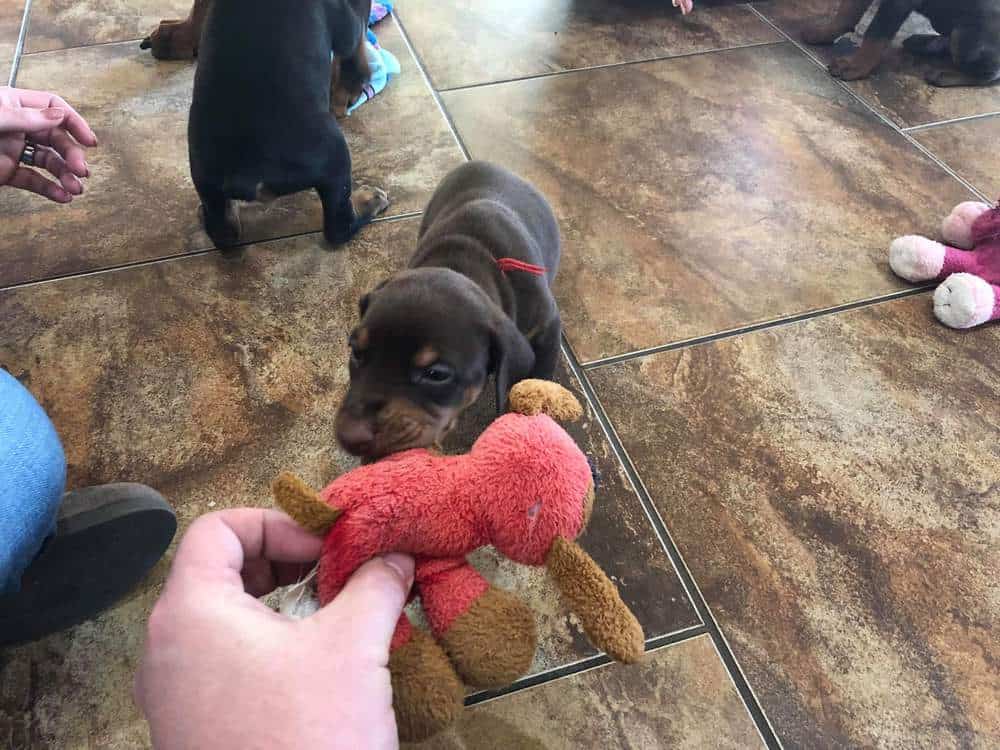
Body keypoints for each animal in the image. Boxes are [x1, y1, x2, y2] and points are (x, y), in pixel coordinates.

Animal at [140, 0, 386, 253]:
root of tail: (248, 173)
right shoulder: (347, 19)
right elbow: (356, 36)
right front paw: (352, 84)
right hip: (333, 156)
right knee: (338, 226)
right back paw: (368, 201)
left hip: (204, 176)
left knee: (224, 231)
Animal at [336, 162, 564, 462]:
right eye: (356, 352)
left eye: (436, 374)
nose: (349, 437)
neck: (464, 261)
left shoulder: (547, 326)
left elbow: (537, 380)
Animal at [804, 0, 1000, 86]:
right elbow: (846, 12)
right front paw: (823, 33)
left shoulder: (897, 4)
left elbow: (876, 34)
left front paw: (855, 67)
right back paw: (925, 43)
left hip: (968, 37)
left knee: (990, 74)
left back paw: (944, 75)